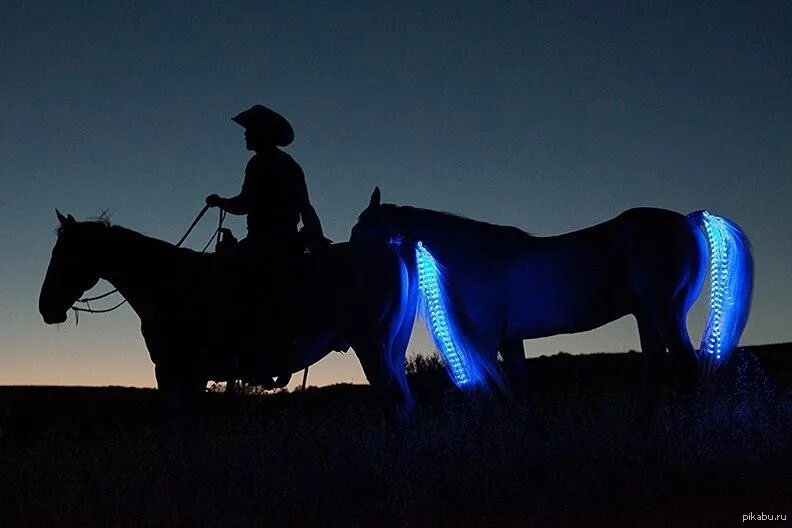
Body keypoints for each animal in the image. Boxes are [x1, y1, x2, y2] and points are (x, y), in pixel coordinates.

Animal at [39, 209, 412, 412]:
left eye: (61, 253)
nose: (45, 307)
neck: (168, 281)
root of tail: (392, 253)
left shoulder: (174, 370)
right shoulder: (194, 375)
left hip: (372, 347)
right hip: (391, 350)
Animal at [350, 187, 752, 392]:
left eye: (360, 229)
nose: (347, 262)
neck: (474, 254)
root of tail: (689, 220)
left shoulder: (487, 339)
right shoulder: (510, 340)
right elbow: (518, 392)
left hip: (666, 313)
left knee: (688, 368)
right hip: (647, 318)